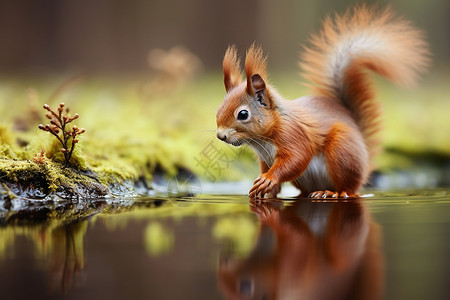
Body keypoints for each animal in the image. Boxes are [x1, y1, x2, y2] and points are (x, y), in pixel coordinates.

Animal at [214, 5, 428, 199]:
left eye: (243, 114)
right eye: (218, 110)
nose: (220, 136)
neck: (262, 140)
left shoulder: (293, 135)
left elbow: (297, 158)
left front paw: (269, 179)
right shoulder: (264, 158)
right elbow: (268, 170)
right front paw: (265, 189)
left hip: (342, 151)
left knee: (348, 189)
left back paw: (332, 192)